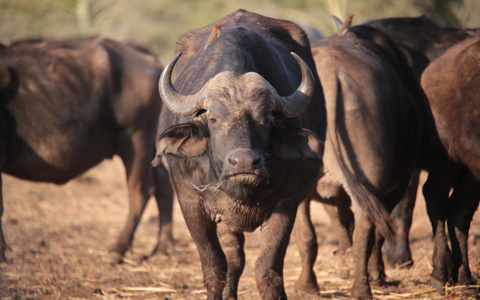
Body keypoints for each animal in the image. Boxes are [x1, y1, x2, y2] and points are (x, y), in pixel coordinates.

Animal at [154, 9, 326, 300]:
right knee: (233, 257)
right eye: (213, 119)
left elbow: (268, 270)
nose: (244, 162)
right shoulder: (190, 203)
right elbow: (214, 267)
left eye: (266, 118)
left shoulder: (286, 203)